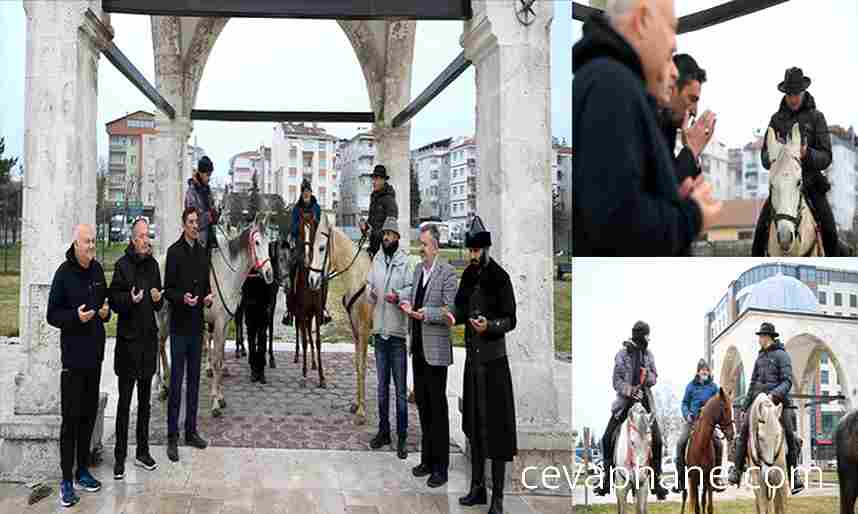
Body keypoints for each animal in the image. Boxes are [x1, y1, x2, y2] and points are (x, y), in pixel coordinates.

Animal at [155, 216, 272, 416]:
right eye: (256, 242)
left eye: (269, 242)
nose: (269, 274)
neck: (229, 276)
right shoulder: (217, 323)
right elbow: (216, 359)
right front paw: (215, 402)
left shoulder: (224, 325)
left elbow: (221, 355)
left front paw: (220, 397)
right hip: (162, 316)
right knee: (160, 345)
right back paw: (162, 386)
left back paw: (164, 382)